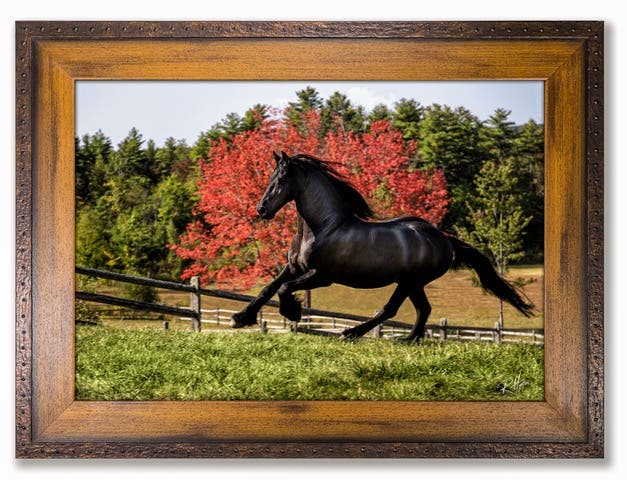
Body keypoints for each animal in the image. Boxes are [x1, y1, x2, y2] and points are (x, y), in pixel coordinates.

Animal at [232, 151, 536, 342]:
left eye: (282, 179)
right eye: (270, 178)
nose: (261, 210)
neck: (322, 227)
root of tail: (445, 239)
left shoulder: (322, 276)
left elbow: (283, 289)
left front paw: (292, 312)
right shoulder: (294, 267)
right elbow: (268, 288)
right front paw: (241, 318)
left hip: (410, 281)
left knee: (391, 310)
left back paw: (353, 333)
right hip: (413, 283)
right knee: (423, 310)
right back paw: (408, 339)